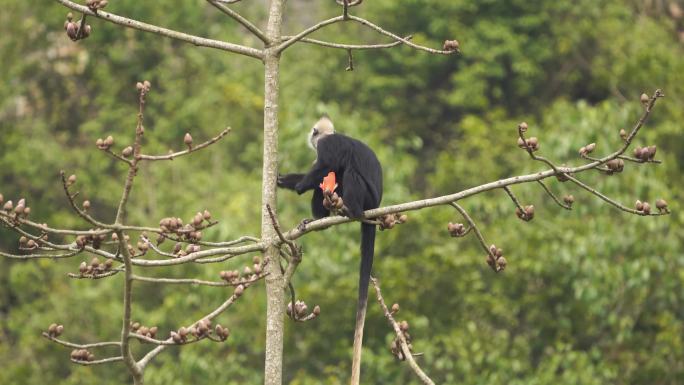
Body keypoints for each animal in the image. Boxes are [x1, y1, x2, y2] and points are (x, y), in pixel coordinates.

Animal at [280, 115, 384, 382]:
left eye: (314, 132)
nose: (311, 136)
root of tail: (374, 208)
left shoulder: (327, 146)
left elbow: (326, 165)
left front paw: (299, 186)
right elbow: (324, 173)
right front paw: (283, 180)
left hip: (366, 198)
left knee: (346, 172)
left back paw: (350, 210)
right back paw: (319, 221)